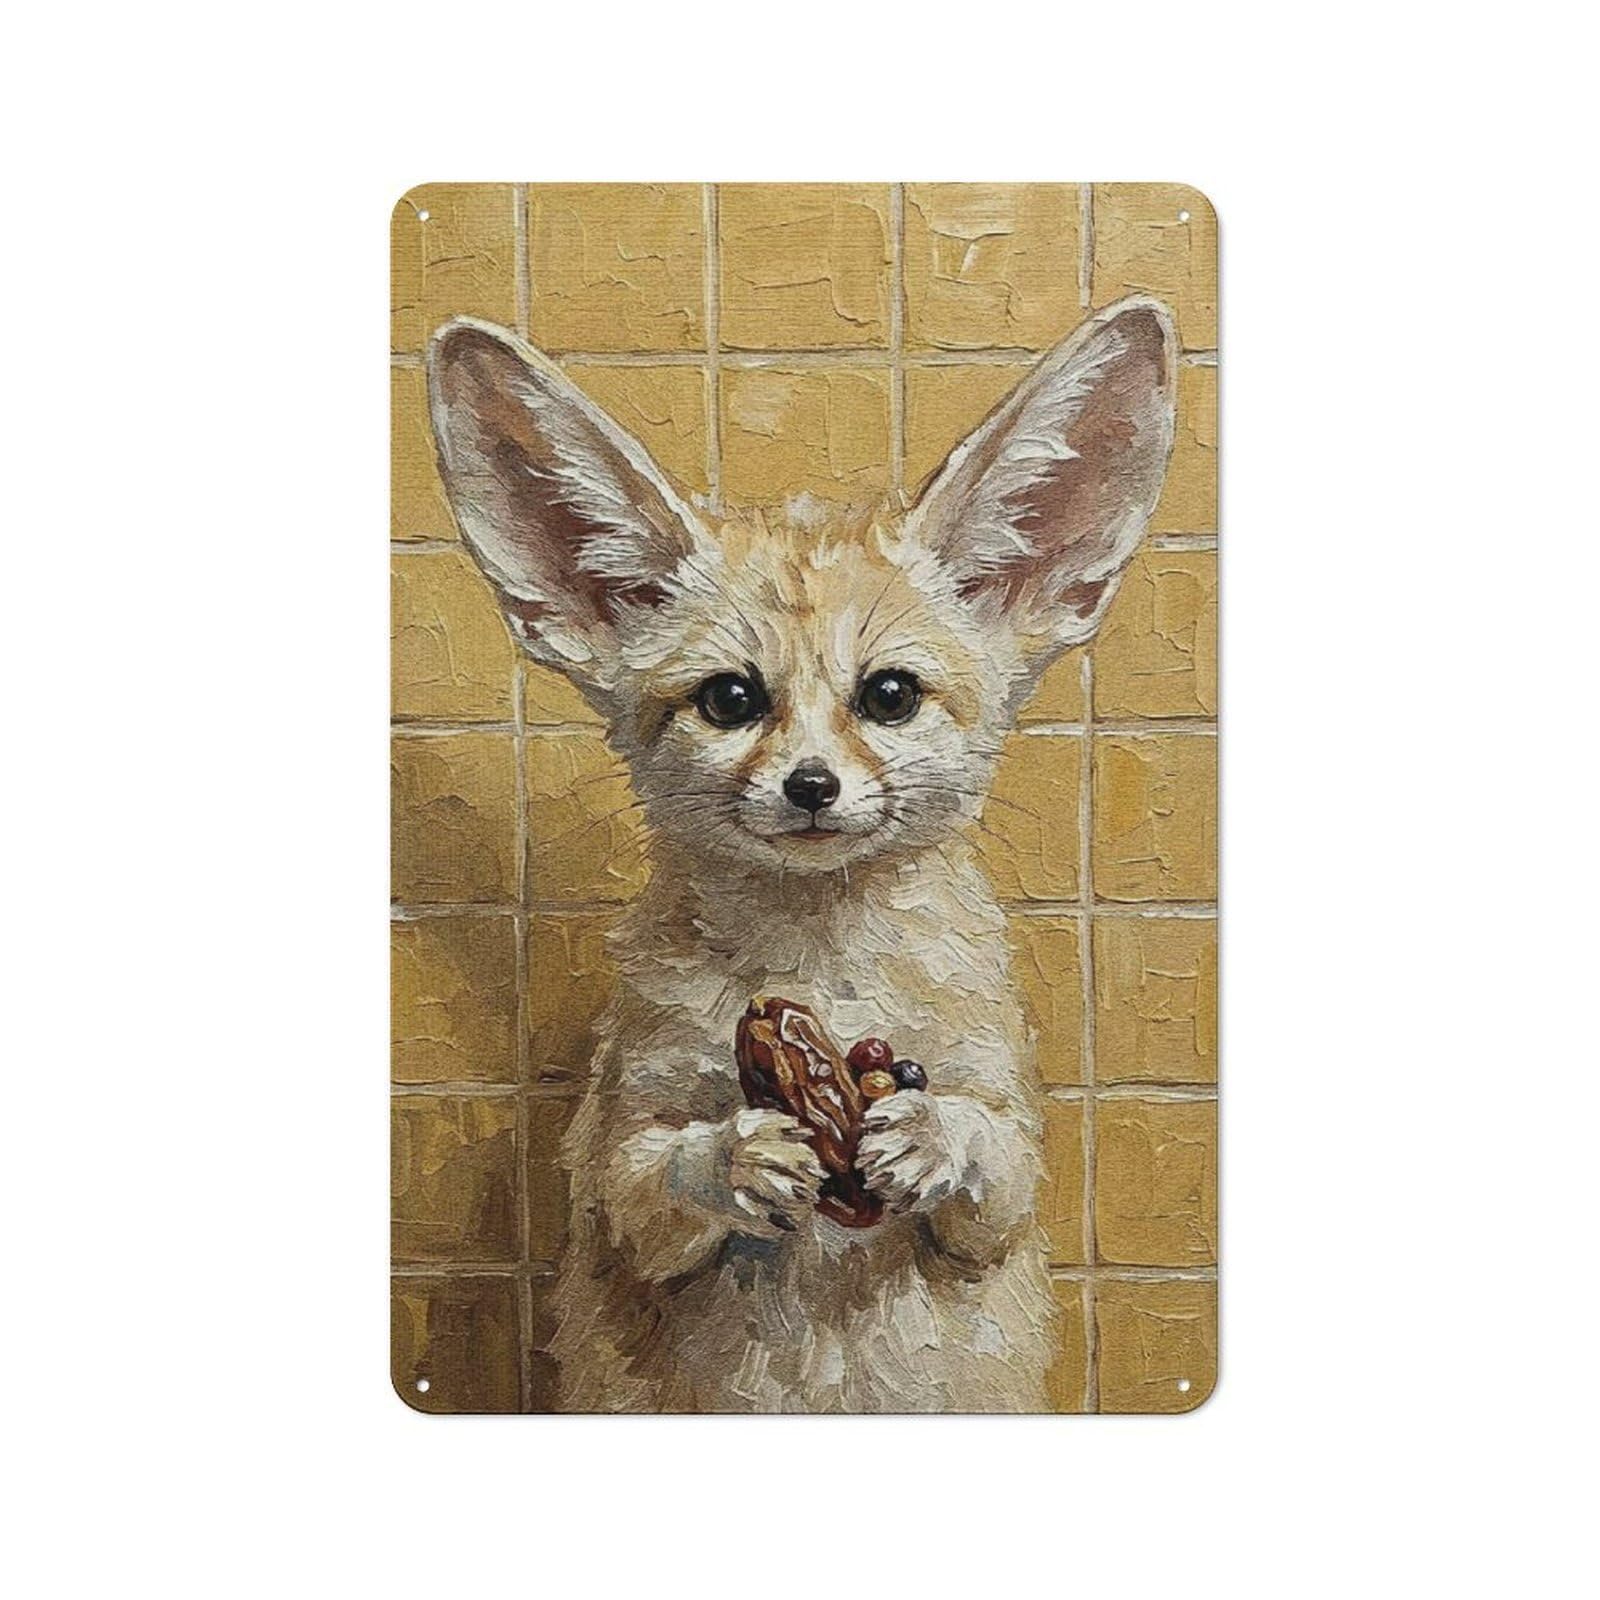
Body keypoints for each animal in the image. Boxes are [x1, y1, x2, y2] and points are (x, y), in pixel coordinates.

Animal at [426, 294, 1178, 1412]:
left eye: (890, 695)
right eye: (730, 699)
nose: (811, 786)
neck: (817, 970)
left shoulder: (1004, 1148)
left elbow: (994, 1163)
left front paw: (928, 1132)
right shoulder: (620, 1144)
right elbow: (652, 1186)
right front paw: (734, 1159)